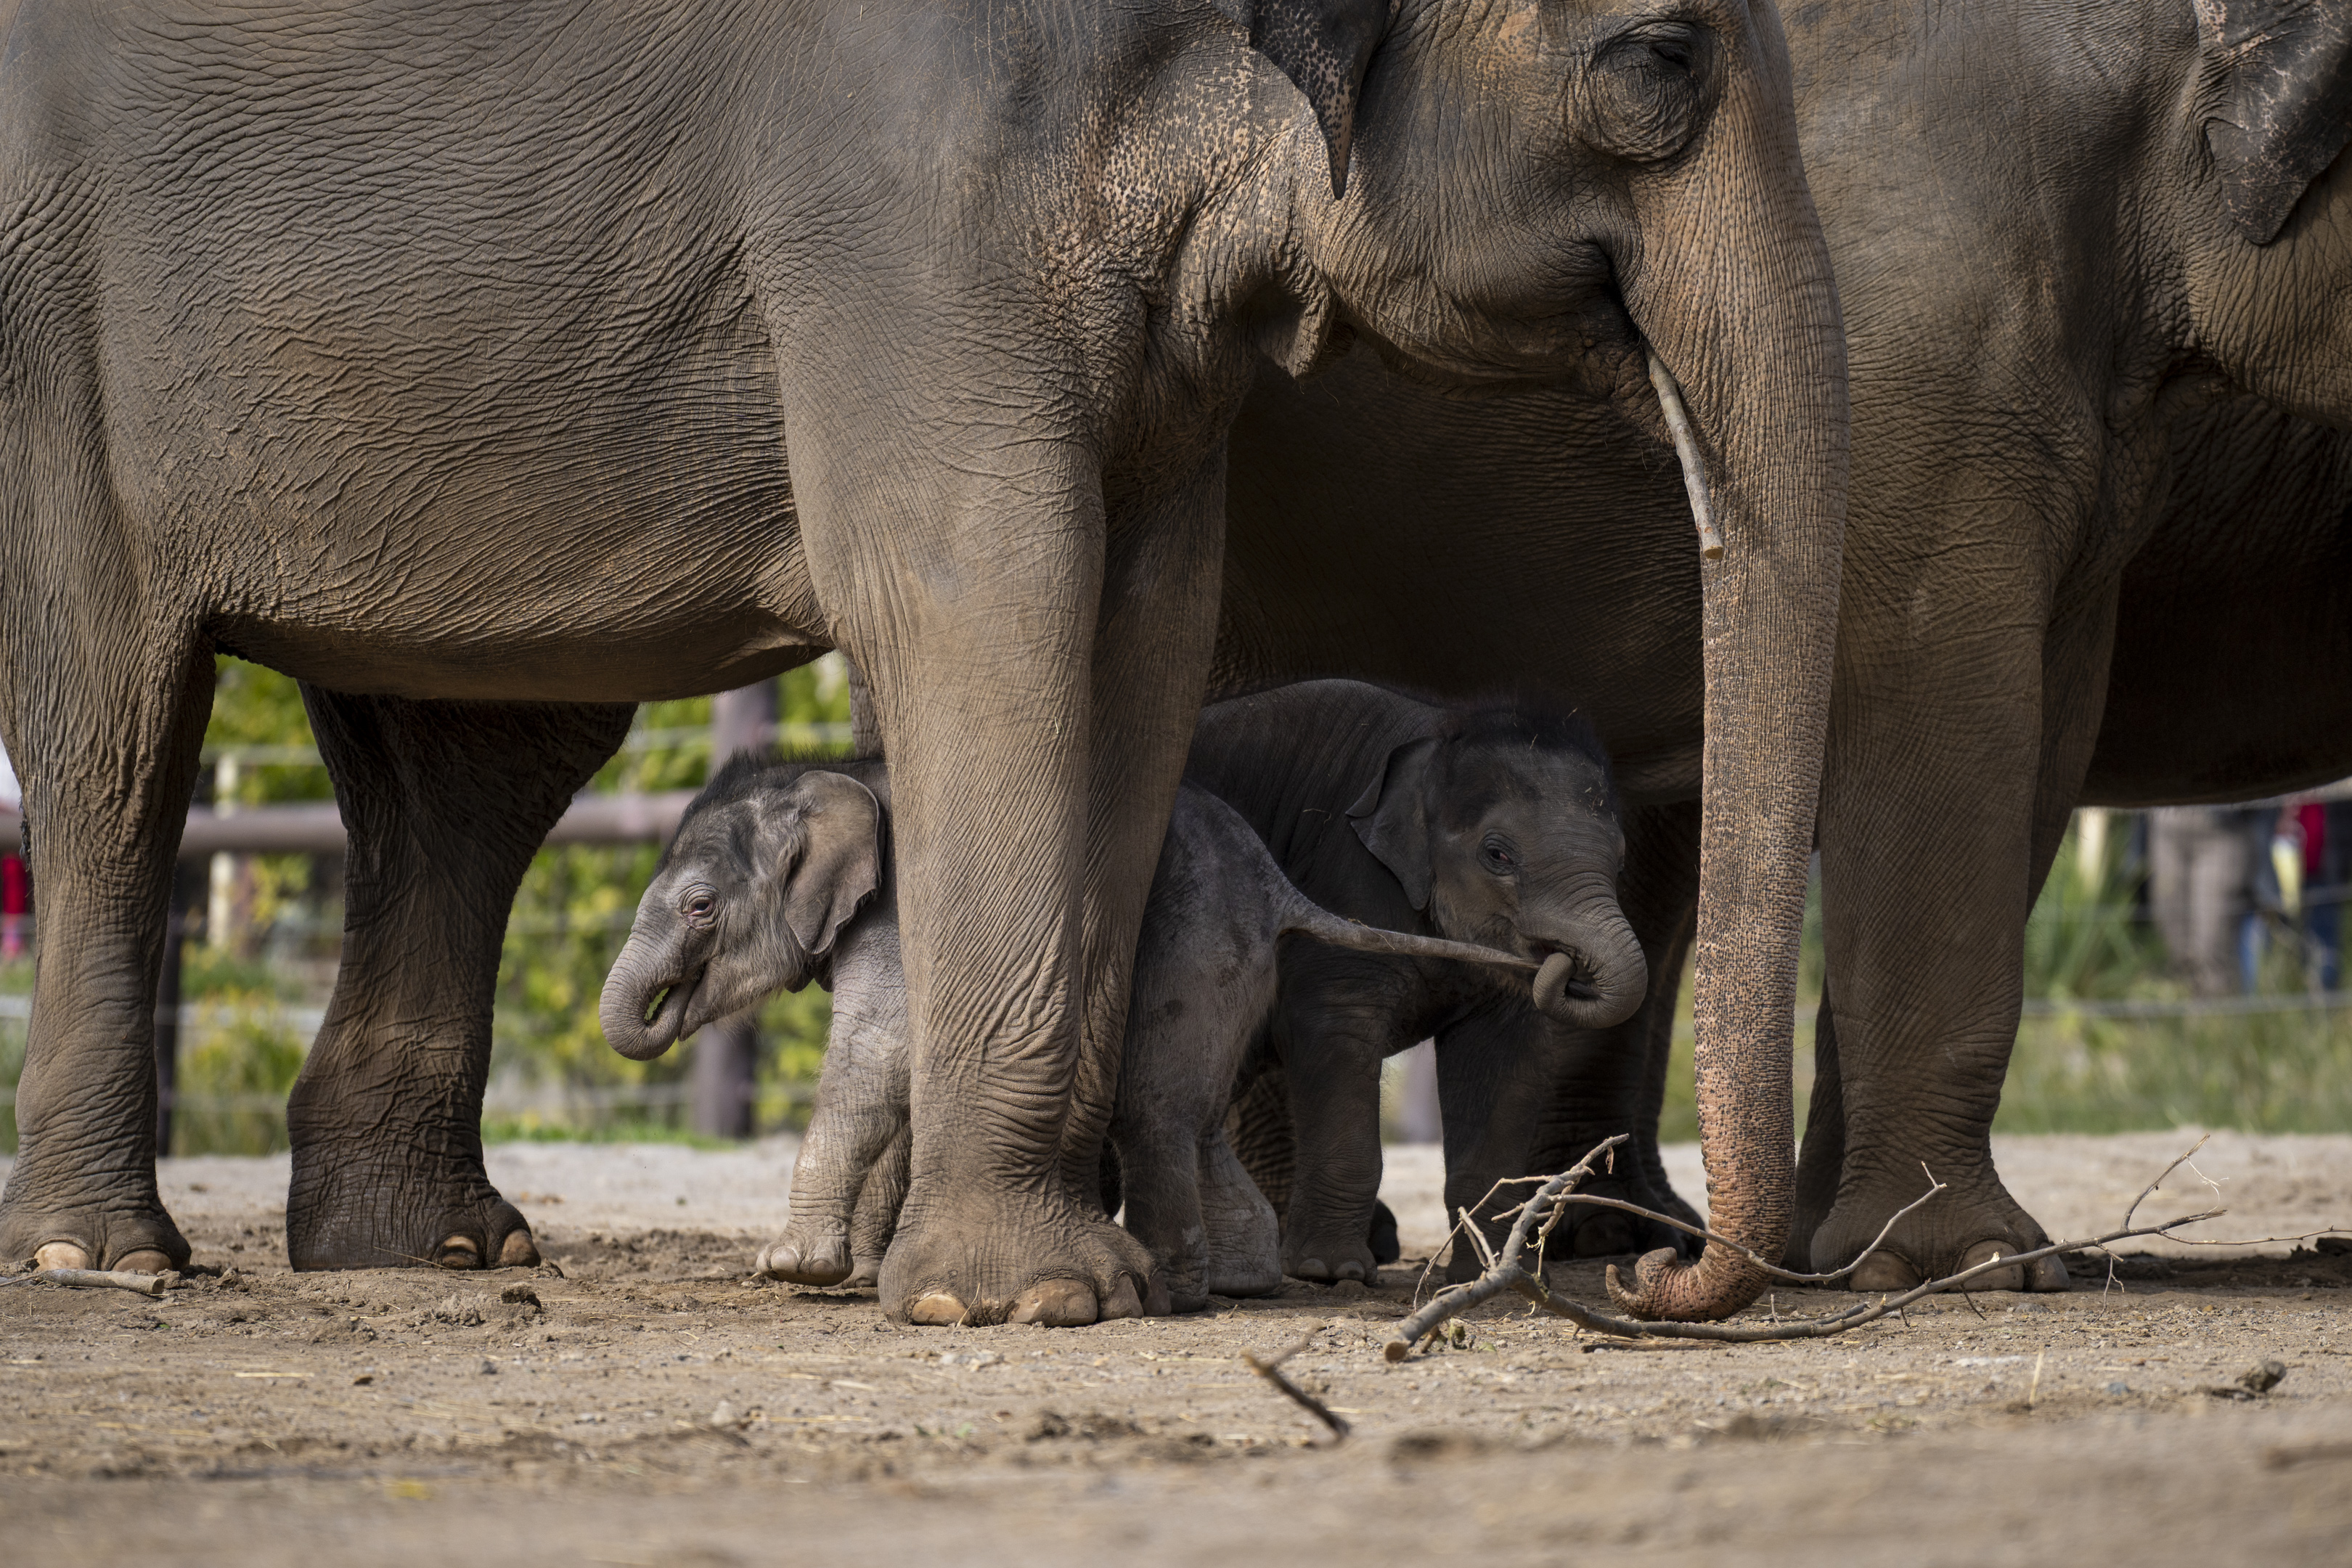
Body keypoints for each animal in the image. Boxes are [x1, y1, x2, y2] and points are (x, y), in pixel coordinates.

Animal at [597, 742, 1594, 1312]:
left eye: (698, 906)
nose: (663, 1006)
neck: (828, 775)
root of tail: (1277, 884)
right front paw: (854, 1271)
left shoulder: (897, 918)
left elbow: (877, 1063)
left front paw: (792, 1270)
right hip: (1230, 964)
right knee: (1194, 1115)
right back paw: (1238, 1283)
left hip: (1198, 947)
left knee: (1156, 1109)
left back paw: (1179, 1292)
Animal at [1205, 0, 2352, 1309]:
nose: (1662, 1284)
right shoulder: (1939, 350)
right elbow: (1937, 705)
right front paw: (1959, 1263)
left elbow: (2040, 732)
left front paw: (1851, 1254)